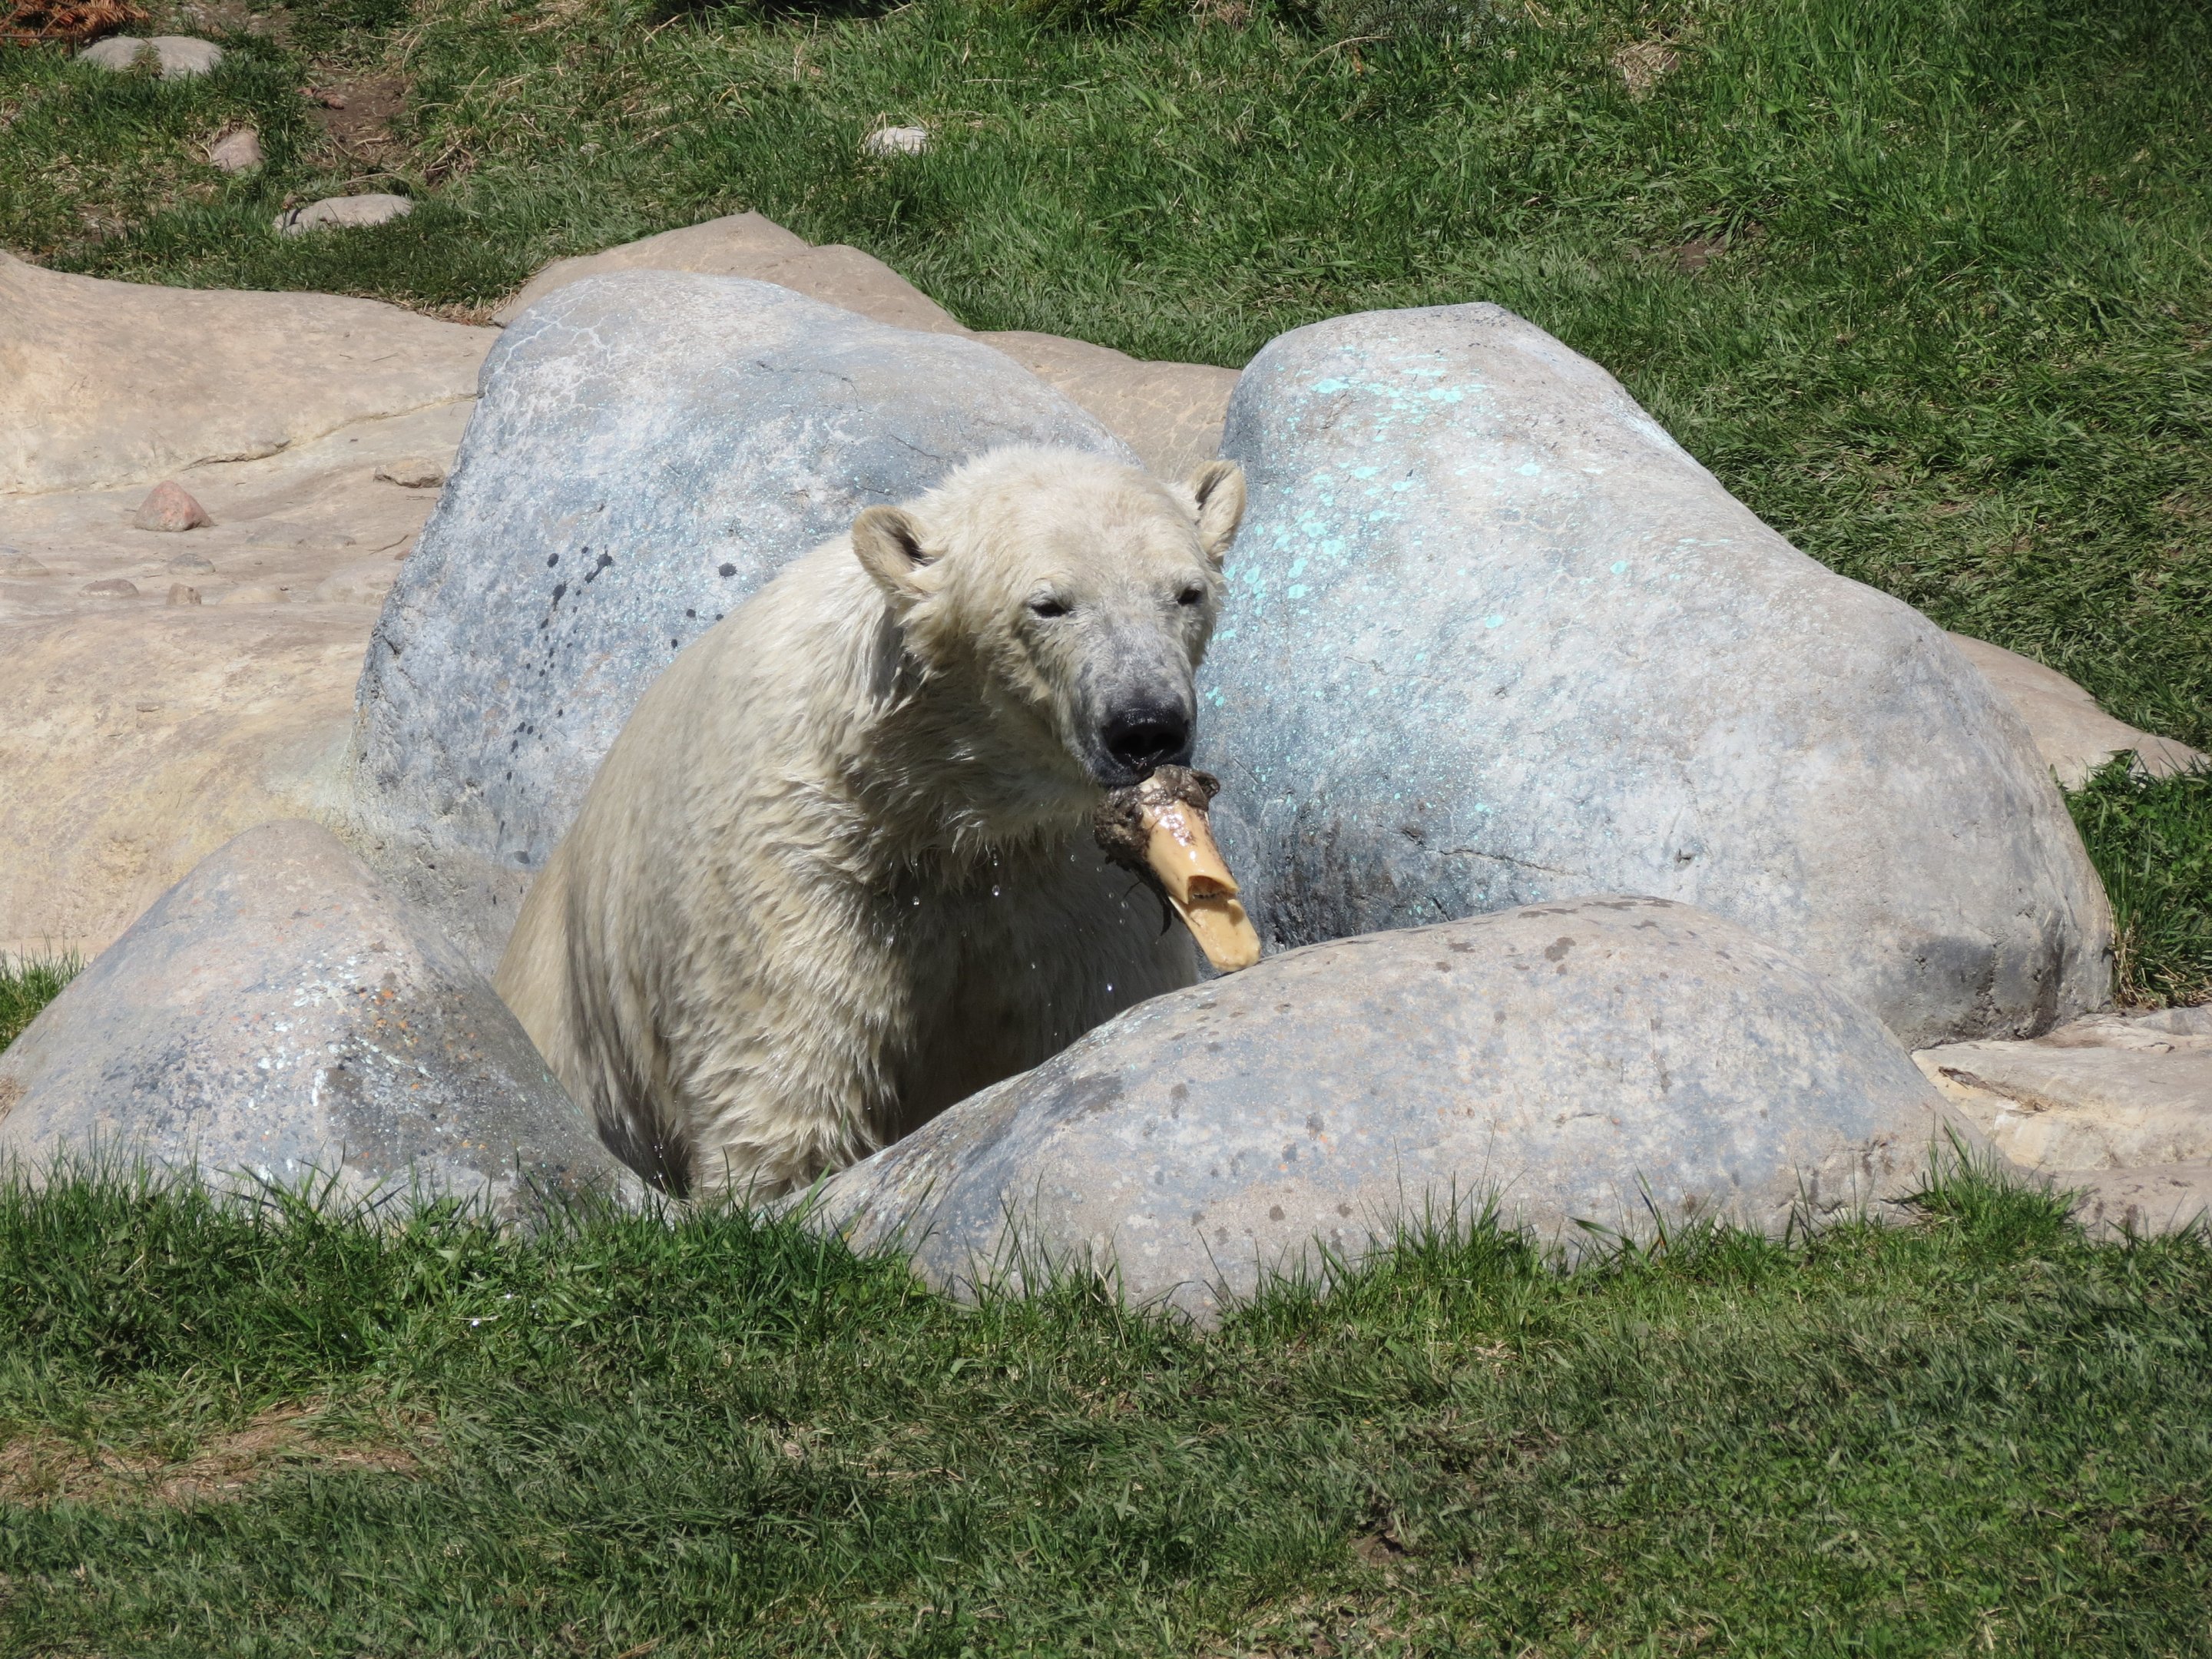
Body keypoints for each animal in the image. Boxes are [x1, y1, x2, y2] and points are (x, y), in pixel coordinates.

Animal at [494, 445, 1248, 1198]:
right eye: (1049, 605)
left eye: (1186, 593)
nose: (1146, 726)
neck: (937, 803)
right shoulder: (798, 859)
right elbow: (785, 1079)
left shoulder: (1065, 883)